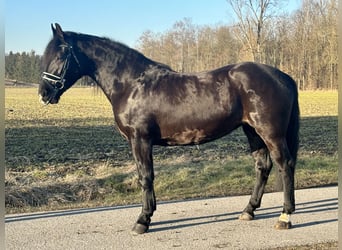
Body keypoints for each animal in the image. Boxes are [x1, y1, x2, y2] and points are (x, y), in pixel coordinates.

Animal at [38, 23, 298, 234]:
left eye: (61, 54)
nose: (43, 93)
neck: (132, 84)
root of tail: (283, 76)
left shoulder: (140, 140)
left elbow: (145, 176)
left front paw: (142, 221)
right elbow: (146, 176)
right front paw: (148, 215)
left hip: (270, 133)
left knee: (285, 164)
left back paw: (284, 217)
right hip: (252, 131)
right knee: (263, 166)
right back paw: (248, 211)